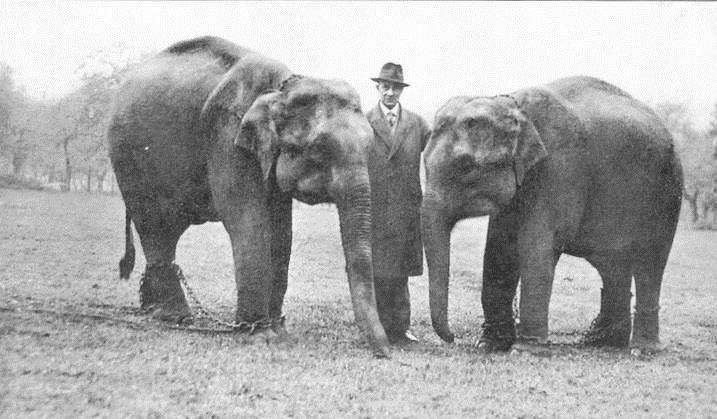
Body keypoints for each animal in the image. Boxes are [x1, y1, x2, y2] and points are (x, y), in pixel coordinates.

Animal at [110, 37, 392, 358]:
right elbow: (249, 221)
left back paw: (154, 310)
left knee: (166, 232)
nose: (386, 352)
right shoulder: (226, 135)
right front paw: (259, 336)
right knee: (154, 228)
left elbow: (281, 232)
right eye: (319, 149)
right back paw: (175, 317)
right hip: (127, 158)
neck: (283, 87)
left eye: (369, 146)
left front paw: (279, 330)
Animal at [420, 76, 684, 354]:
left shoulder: (560, 168)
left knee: (650, 263)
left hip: (667, 193)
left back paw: (642, 349)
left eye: (466, 167)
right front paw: (488, 344)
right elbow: (499, 247)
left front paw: (525, 349)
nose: (452, 338)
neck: (509, 103)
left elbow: (536, 245)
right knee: (612, 265)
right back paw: (599, 341)